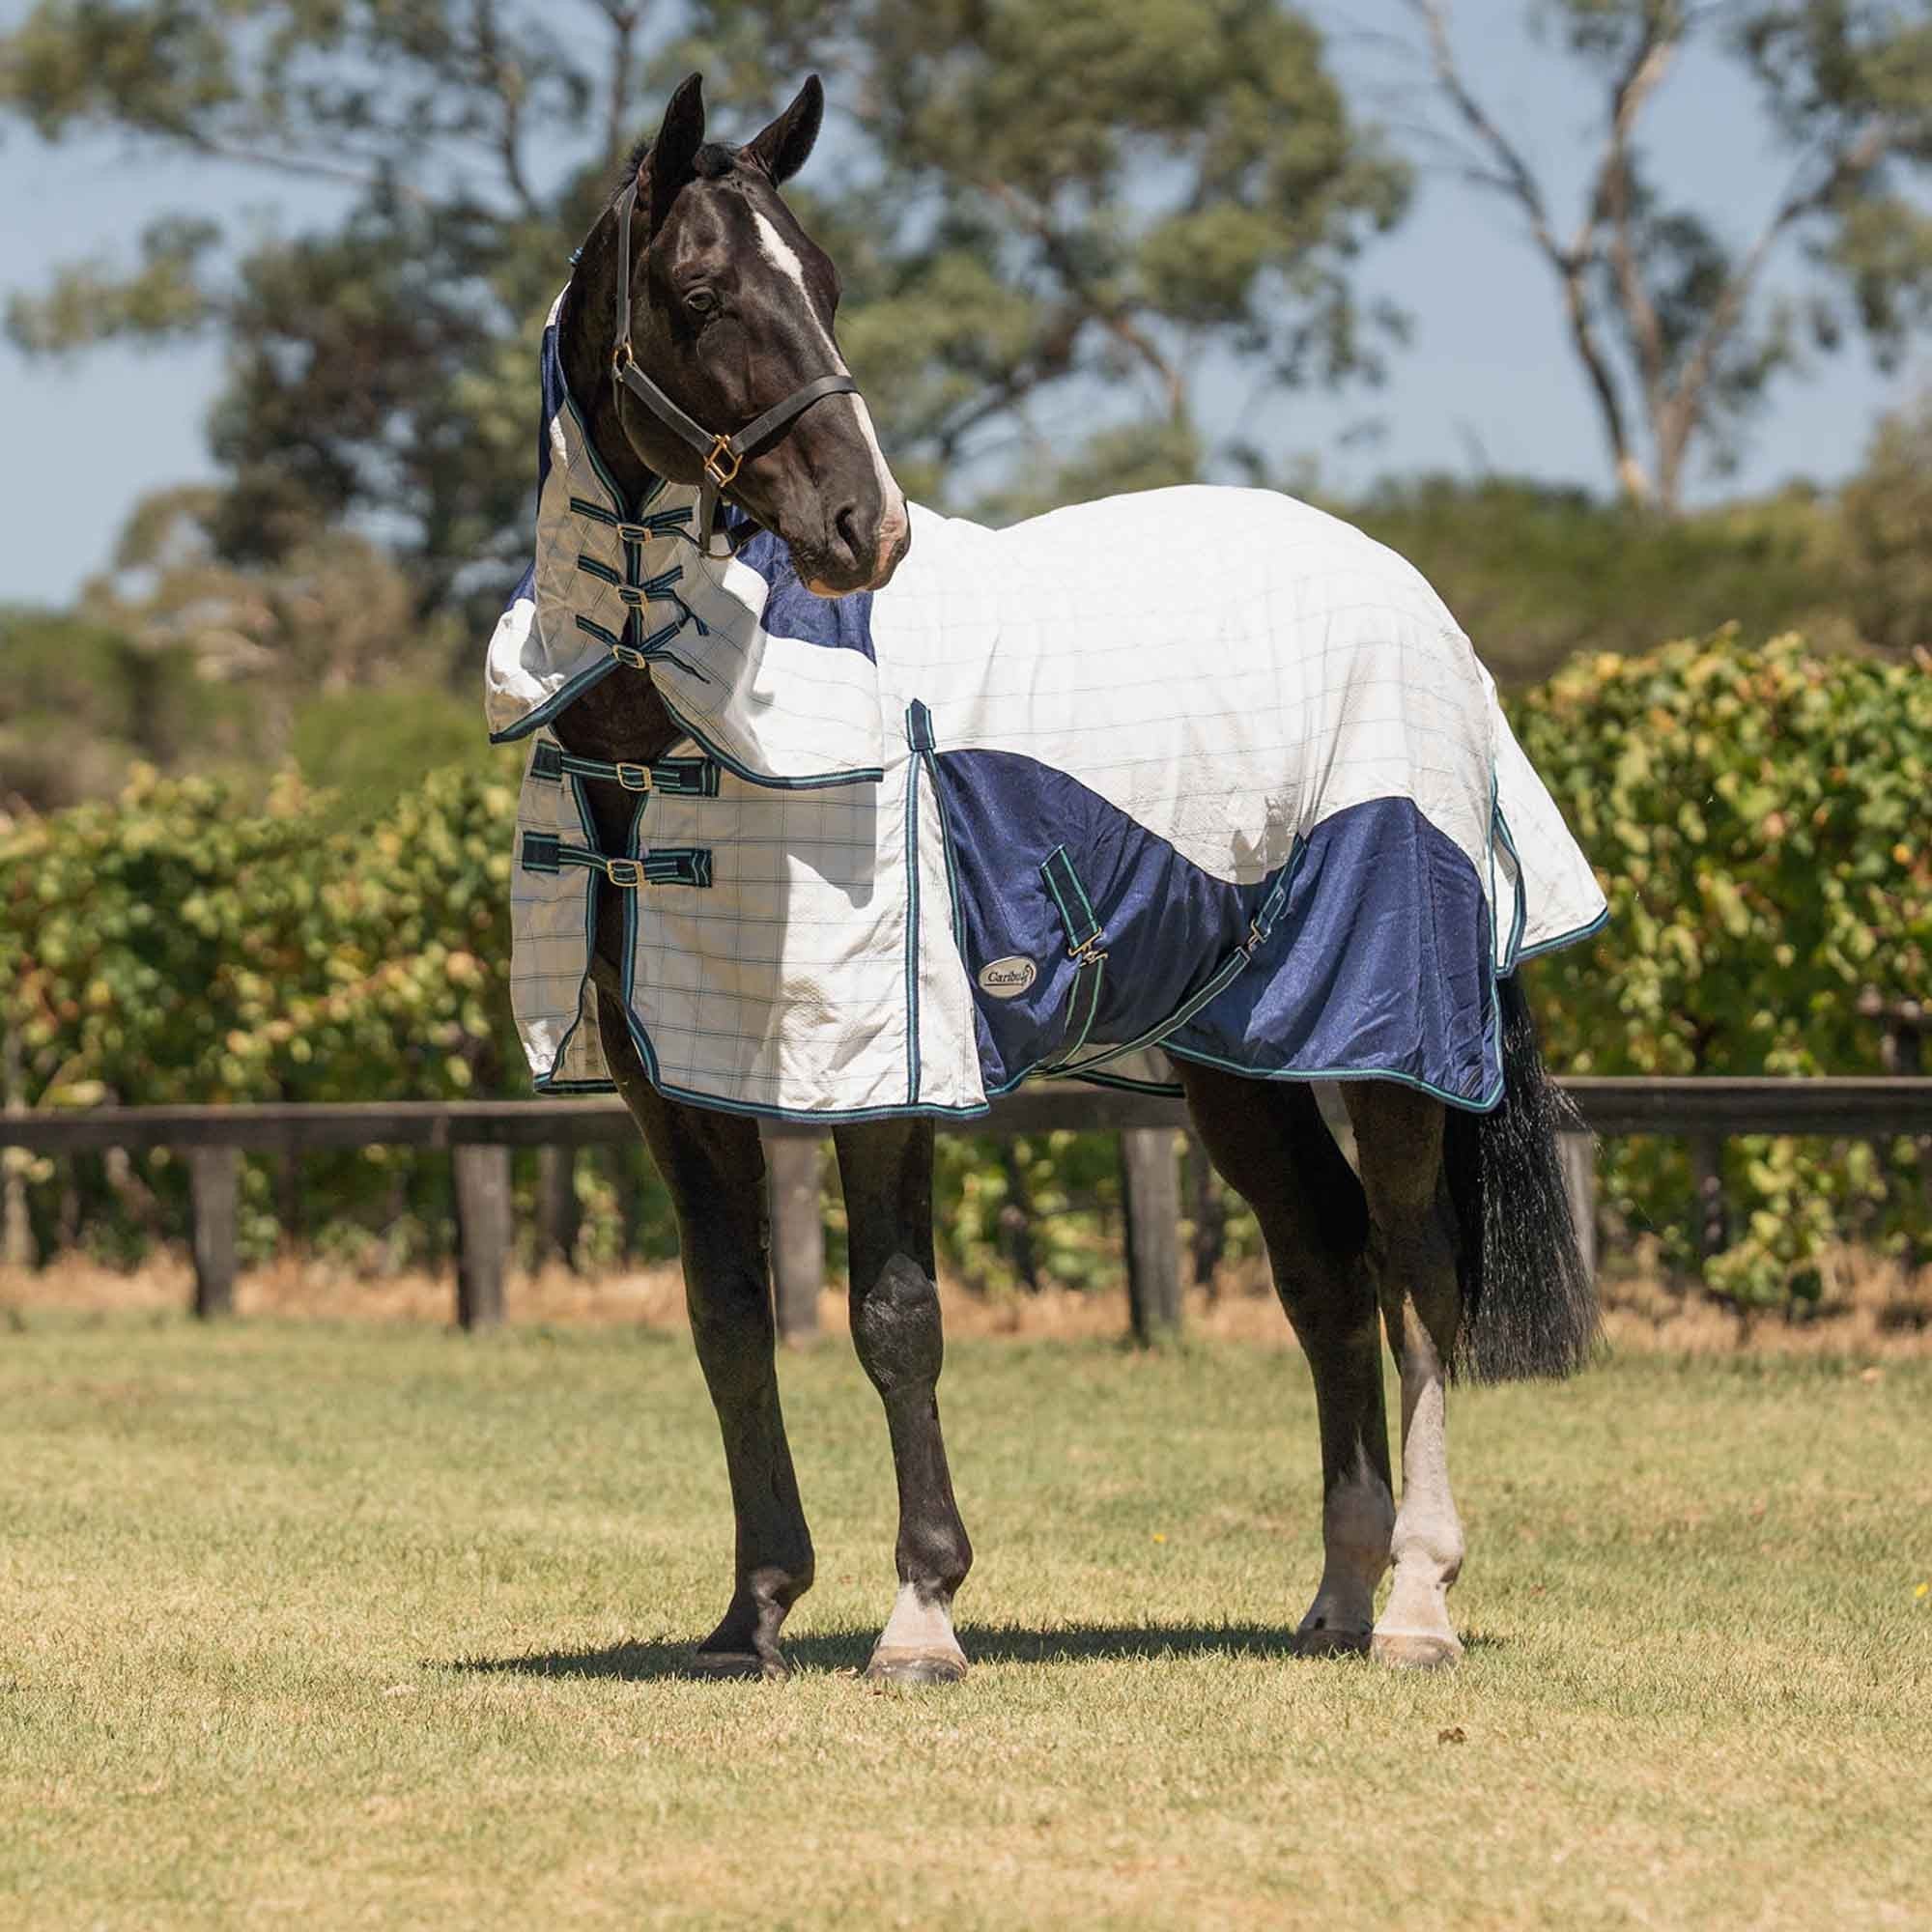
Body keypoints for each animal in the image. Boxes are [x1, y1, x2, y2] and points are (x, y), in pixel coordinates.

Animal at [486, 72, 1606, 1682]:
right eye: (702, 296)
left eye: (827, 285)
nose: (868, 531)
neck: (683, 725)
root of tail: (1417, 603)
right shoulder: (673, 1078)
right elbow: (727, 1316)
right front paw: (753, 1608)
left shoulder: (888, 1059)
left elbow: (895, 1315)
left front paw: (922, 1612)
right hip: (1238, 1055)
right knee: (1326, 1269)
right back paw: (1336, 1596)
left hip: (1389, 1037)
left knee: (1417, 1273)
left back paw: (1415, 1600)